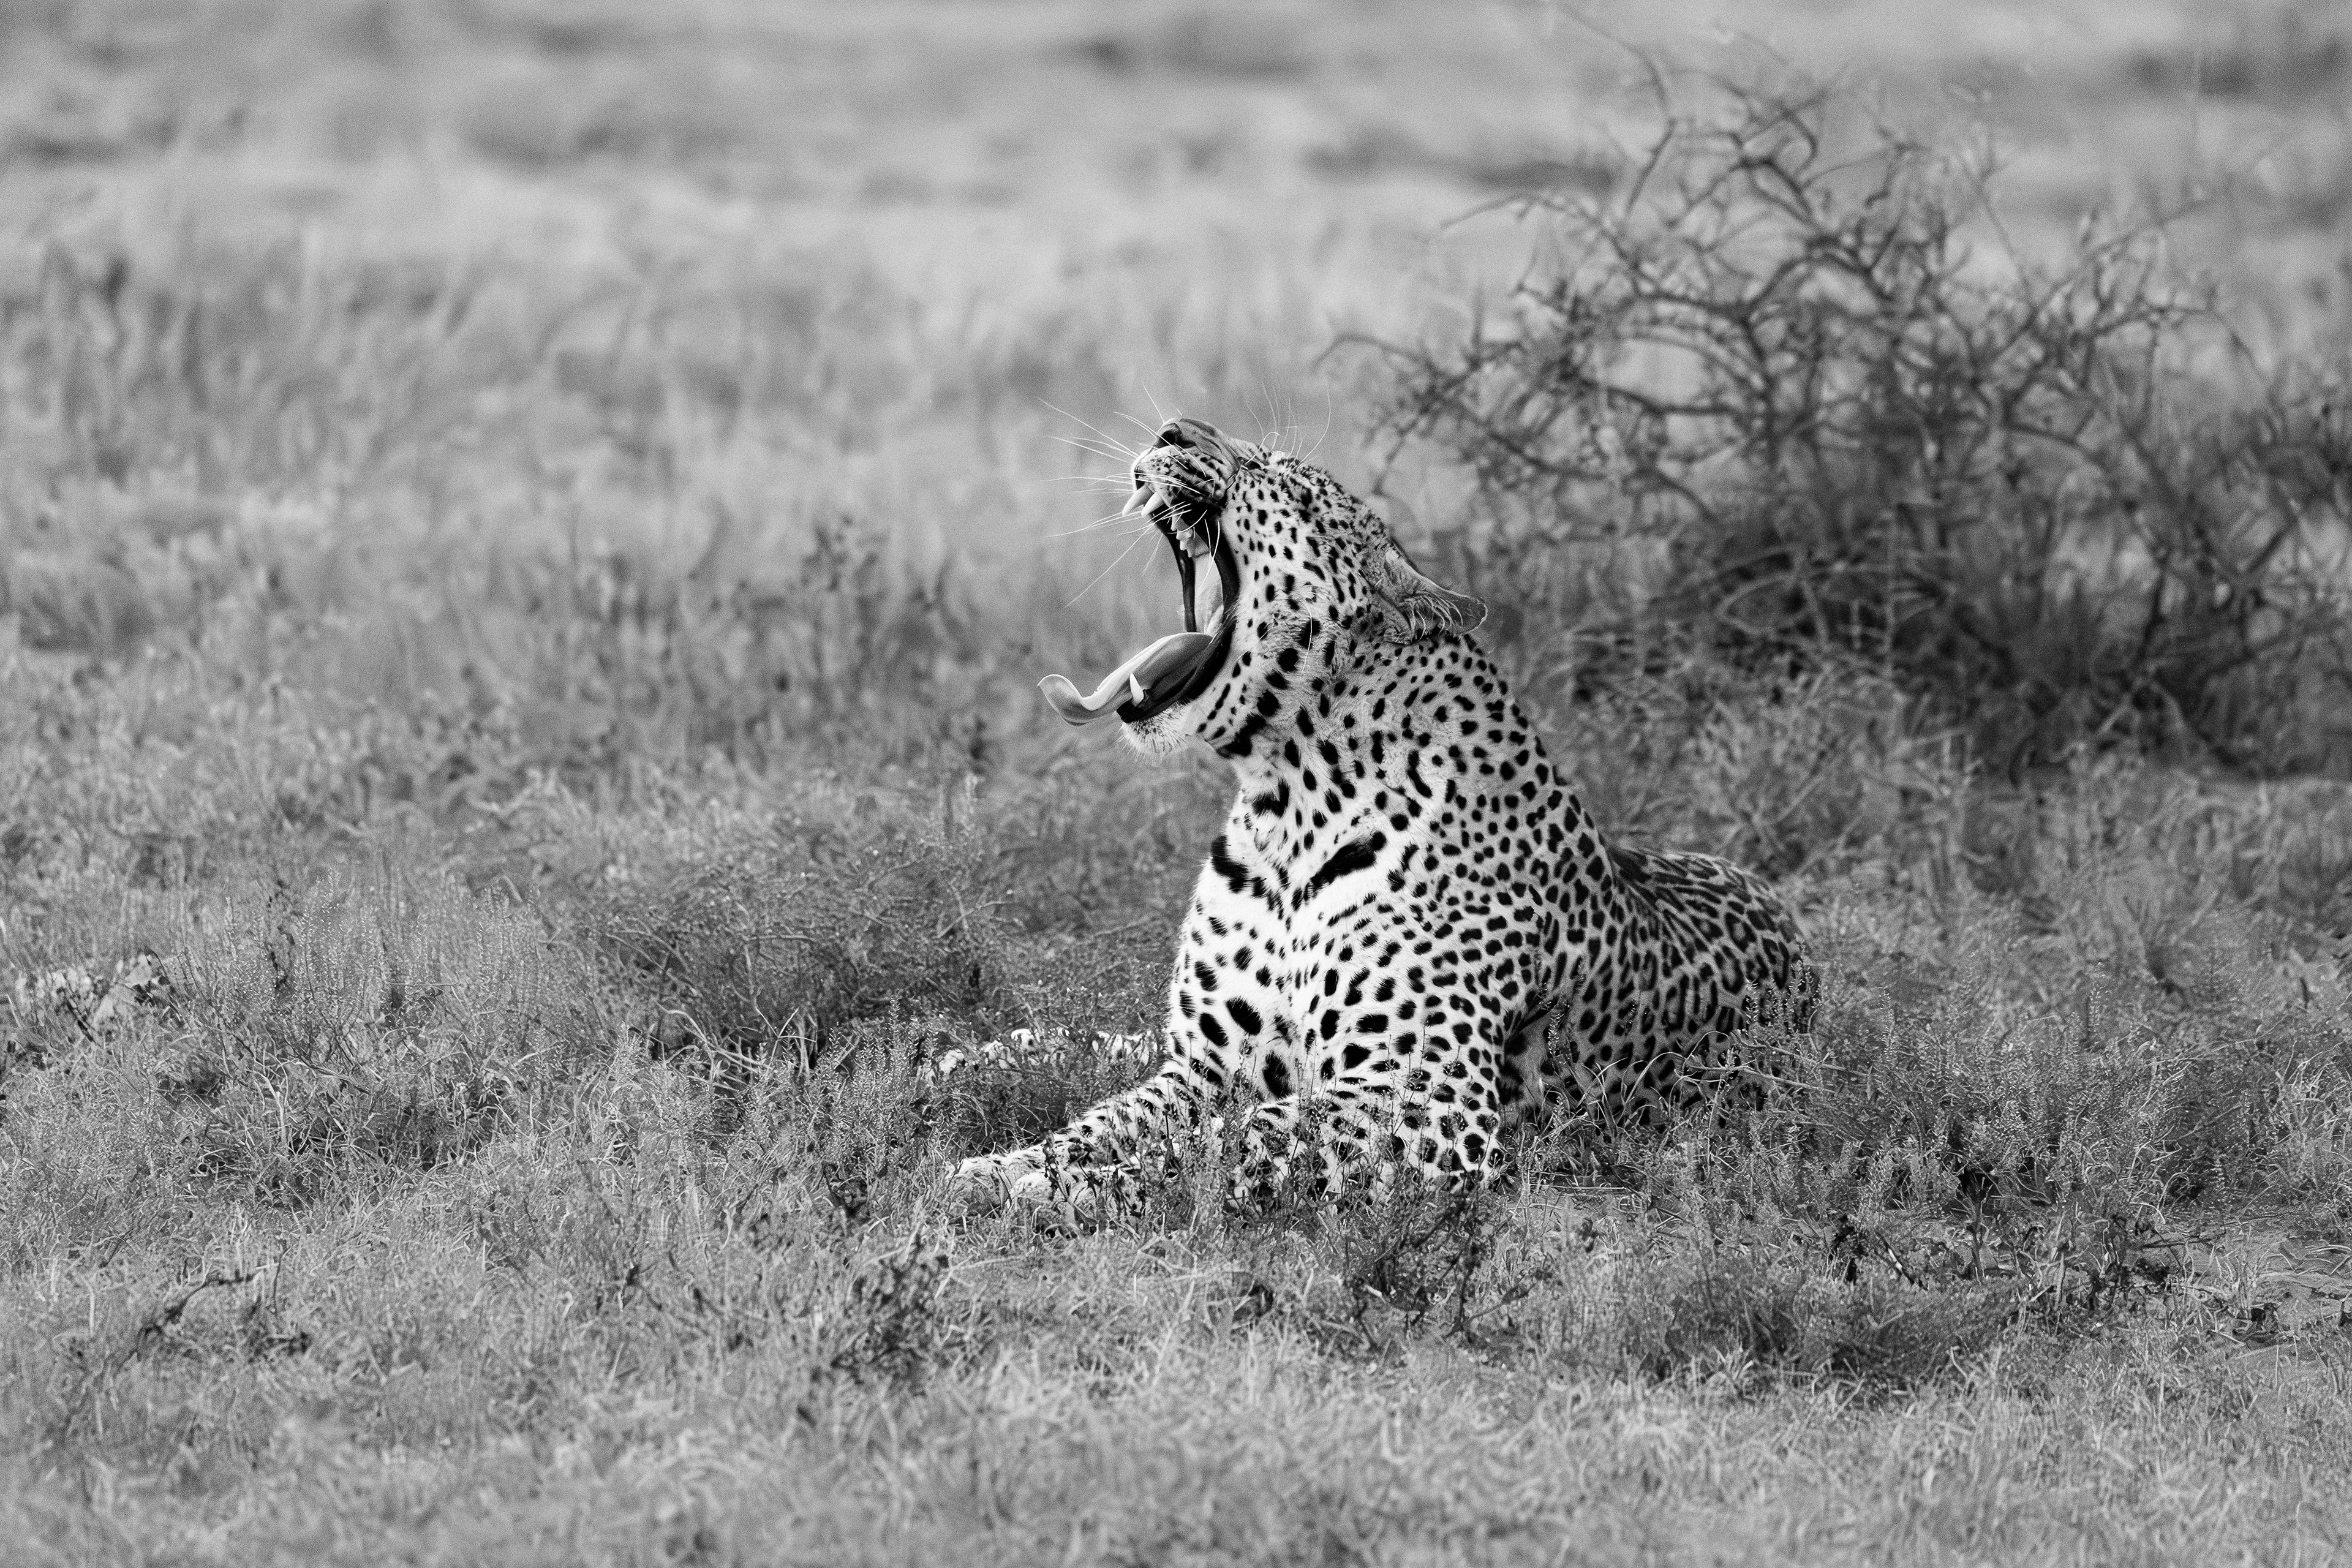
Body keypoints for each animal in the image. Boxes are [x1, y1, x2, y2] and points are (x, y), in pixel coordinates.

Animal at [951, 417, 1807, 1218]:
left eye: (1283, 480)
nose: (1173, 430)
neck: (1286, 808)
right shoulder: (1204, 1066)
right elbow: (1108, 1116)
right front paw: (1004, 1166)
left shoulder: (1424, 1096)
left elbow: (1232, 1138)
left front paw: (1073, 1189)